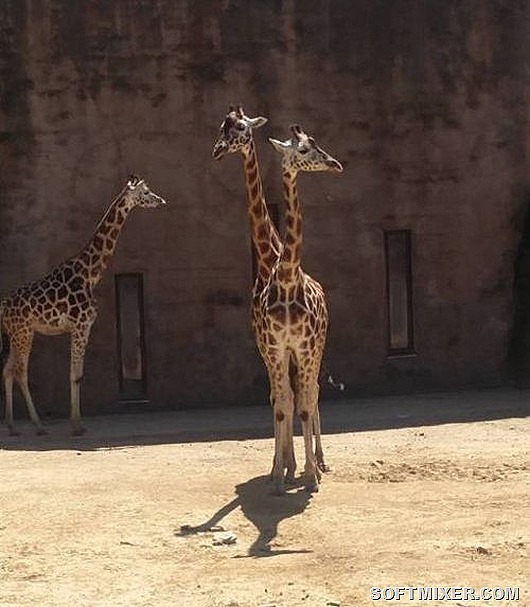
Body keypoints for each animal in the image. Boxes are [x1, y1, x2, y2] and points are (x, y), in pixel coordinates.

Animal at [0, 176, 165, 436]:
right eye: (146, 192)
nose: (161, 200)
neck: (90, 273)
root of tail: (4, 307)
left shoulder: (85, 328)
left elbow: (77, 374)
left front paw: (78, 423)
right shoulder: (80, 326)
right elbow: (75, 375)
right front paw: (76, 425)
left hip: (21, 334)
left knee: (7, 369)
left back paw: (12, 426)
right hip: (23, 333)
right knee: (20, 372)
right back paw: (38, 425)